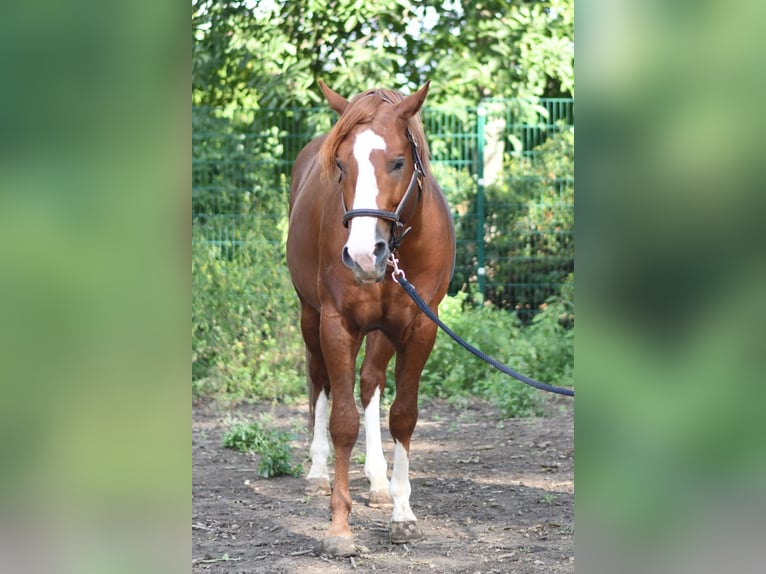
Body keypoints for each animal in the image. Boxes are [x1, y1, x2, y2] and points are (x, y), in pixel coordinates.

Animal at [288, 82, 456, 560]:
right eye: (341, 166)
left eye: (398, 162)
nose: (364, 255)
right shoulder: (336, 323)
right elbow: (342, 420)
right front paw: (339, 528)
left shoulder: (420, 328)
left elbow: (403, 416)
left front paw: (402, 513)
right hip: (310, 317)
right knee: (320, 380)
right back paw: (317, 471)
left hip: (382, 332)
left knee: (370, 382)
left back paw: (379, 480)